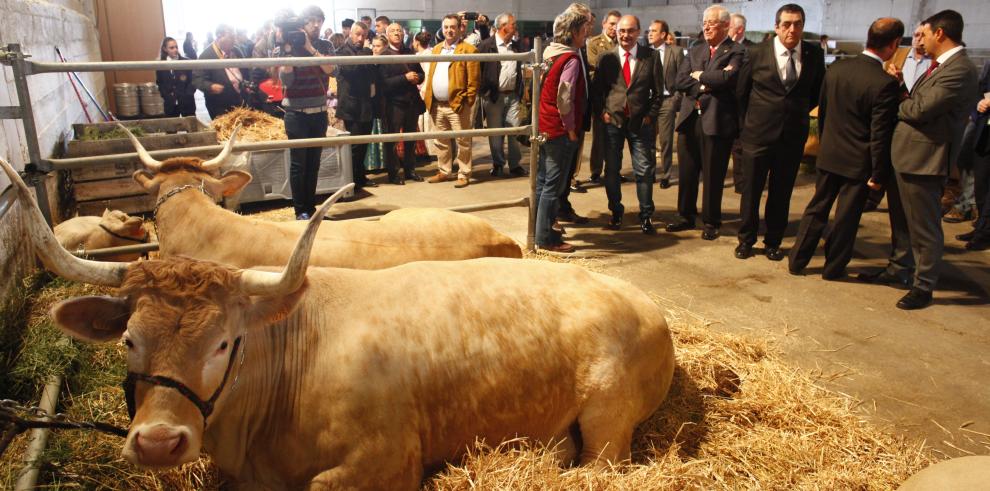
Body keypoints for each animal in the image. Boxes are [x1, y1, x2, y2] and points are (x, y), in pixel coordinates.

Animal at [0, 157, 680, 488]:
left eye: (224, 343)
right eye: (128, 340)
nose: (160, 441)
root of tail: (645, 302)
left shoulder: (386, 460)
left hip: (610, 418)